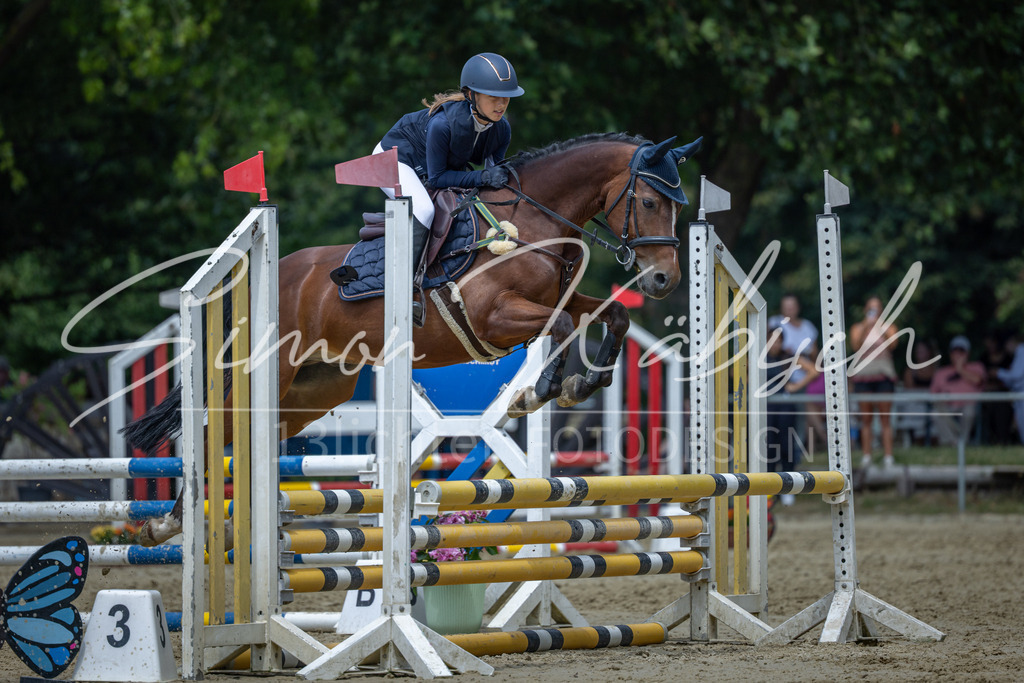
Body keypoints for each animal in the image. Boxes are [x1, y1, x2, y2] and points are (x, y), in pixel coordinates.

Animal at [125, 131, 700, 546]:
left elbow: (610, 317)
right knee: (209, 430)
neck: (534, 222)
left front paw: (583, 383)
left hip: (316, 388)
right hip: (272, 371)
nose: (663, 280)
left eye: (678, 205)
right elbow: (559, 328)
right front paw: (535, 394)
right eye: (651, 202)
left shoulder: (559, 300)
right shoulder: (493, 317)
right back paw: (170, 525)